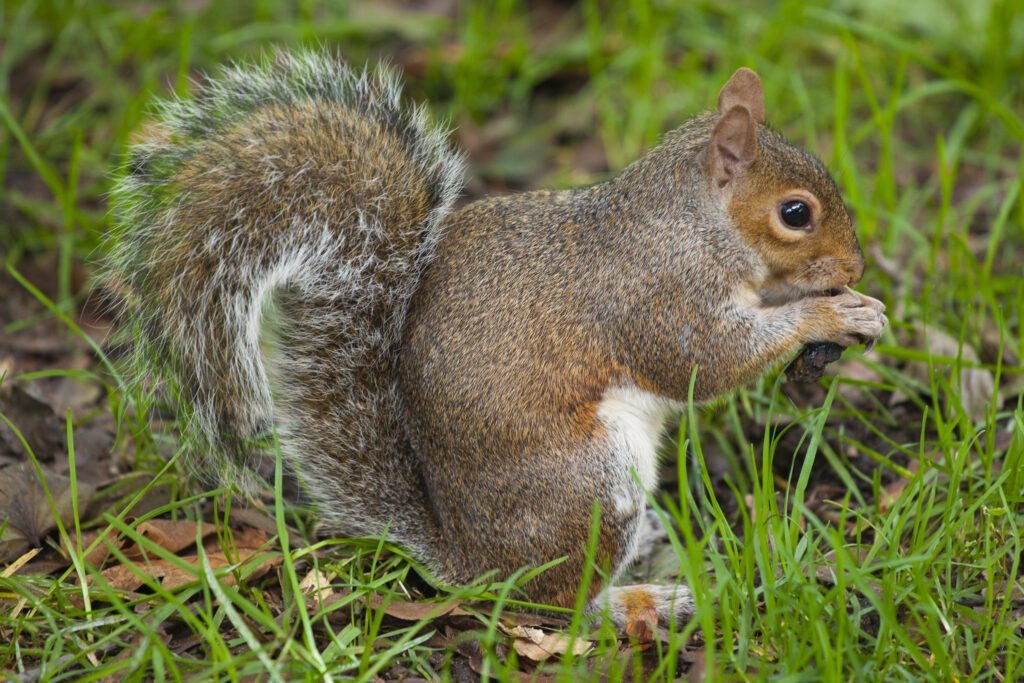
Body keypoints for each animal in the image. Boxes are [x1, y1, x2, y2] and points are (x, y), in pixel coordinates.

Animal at [105, 50, 887, 628]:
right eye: (795, 213)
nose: (853, 267)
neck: (694, 222)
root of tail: (467, 564)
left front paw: (857, 306)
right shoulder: (658, 296)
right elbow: (705, 362)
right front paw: (828, 315)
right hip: (590, 486)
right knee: (557, 606)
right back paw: (642, 601)